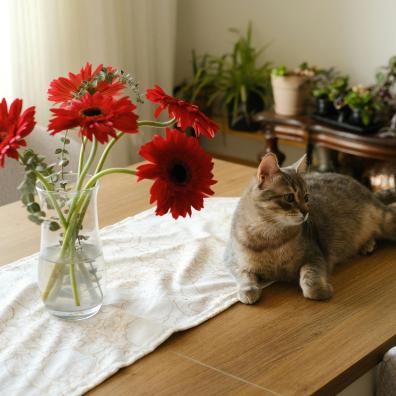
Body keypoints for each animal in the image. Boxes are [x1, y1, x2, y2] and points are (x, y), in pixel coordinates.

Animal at [226, 153, 396, 304]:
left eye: (307, 197)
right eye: (289, 197)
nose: (306, 212)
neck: (271, 236)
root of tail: (366, 189)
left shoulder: (314, 255)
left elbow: (310, 282)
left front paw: (321, 290)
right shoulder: (232, 260)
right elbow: (245, 276)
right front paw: (248, 291)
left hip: (386, 220)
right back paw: (367, 244)